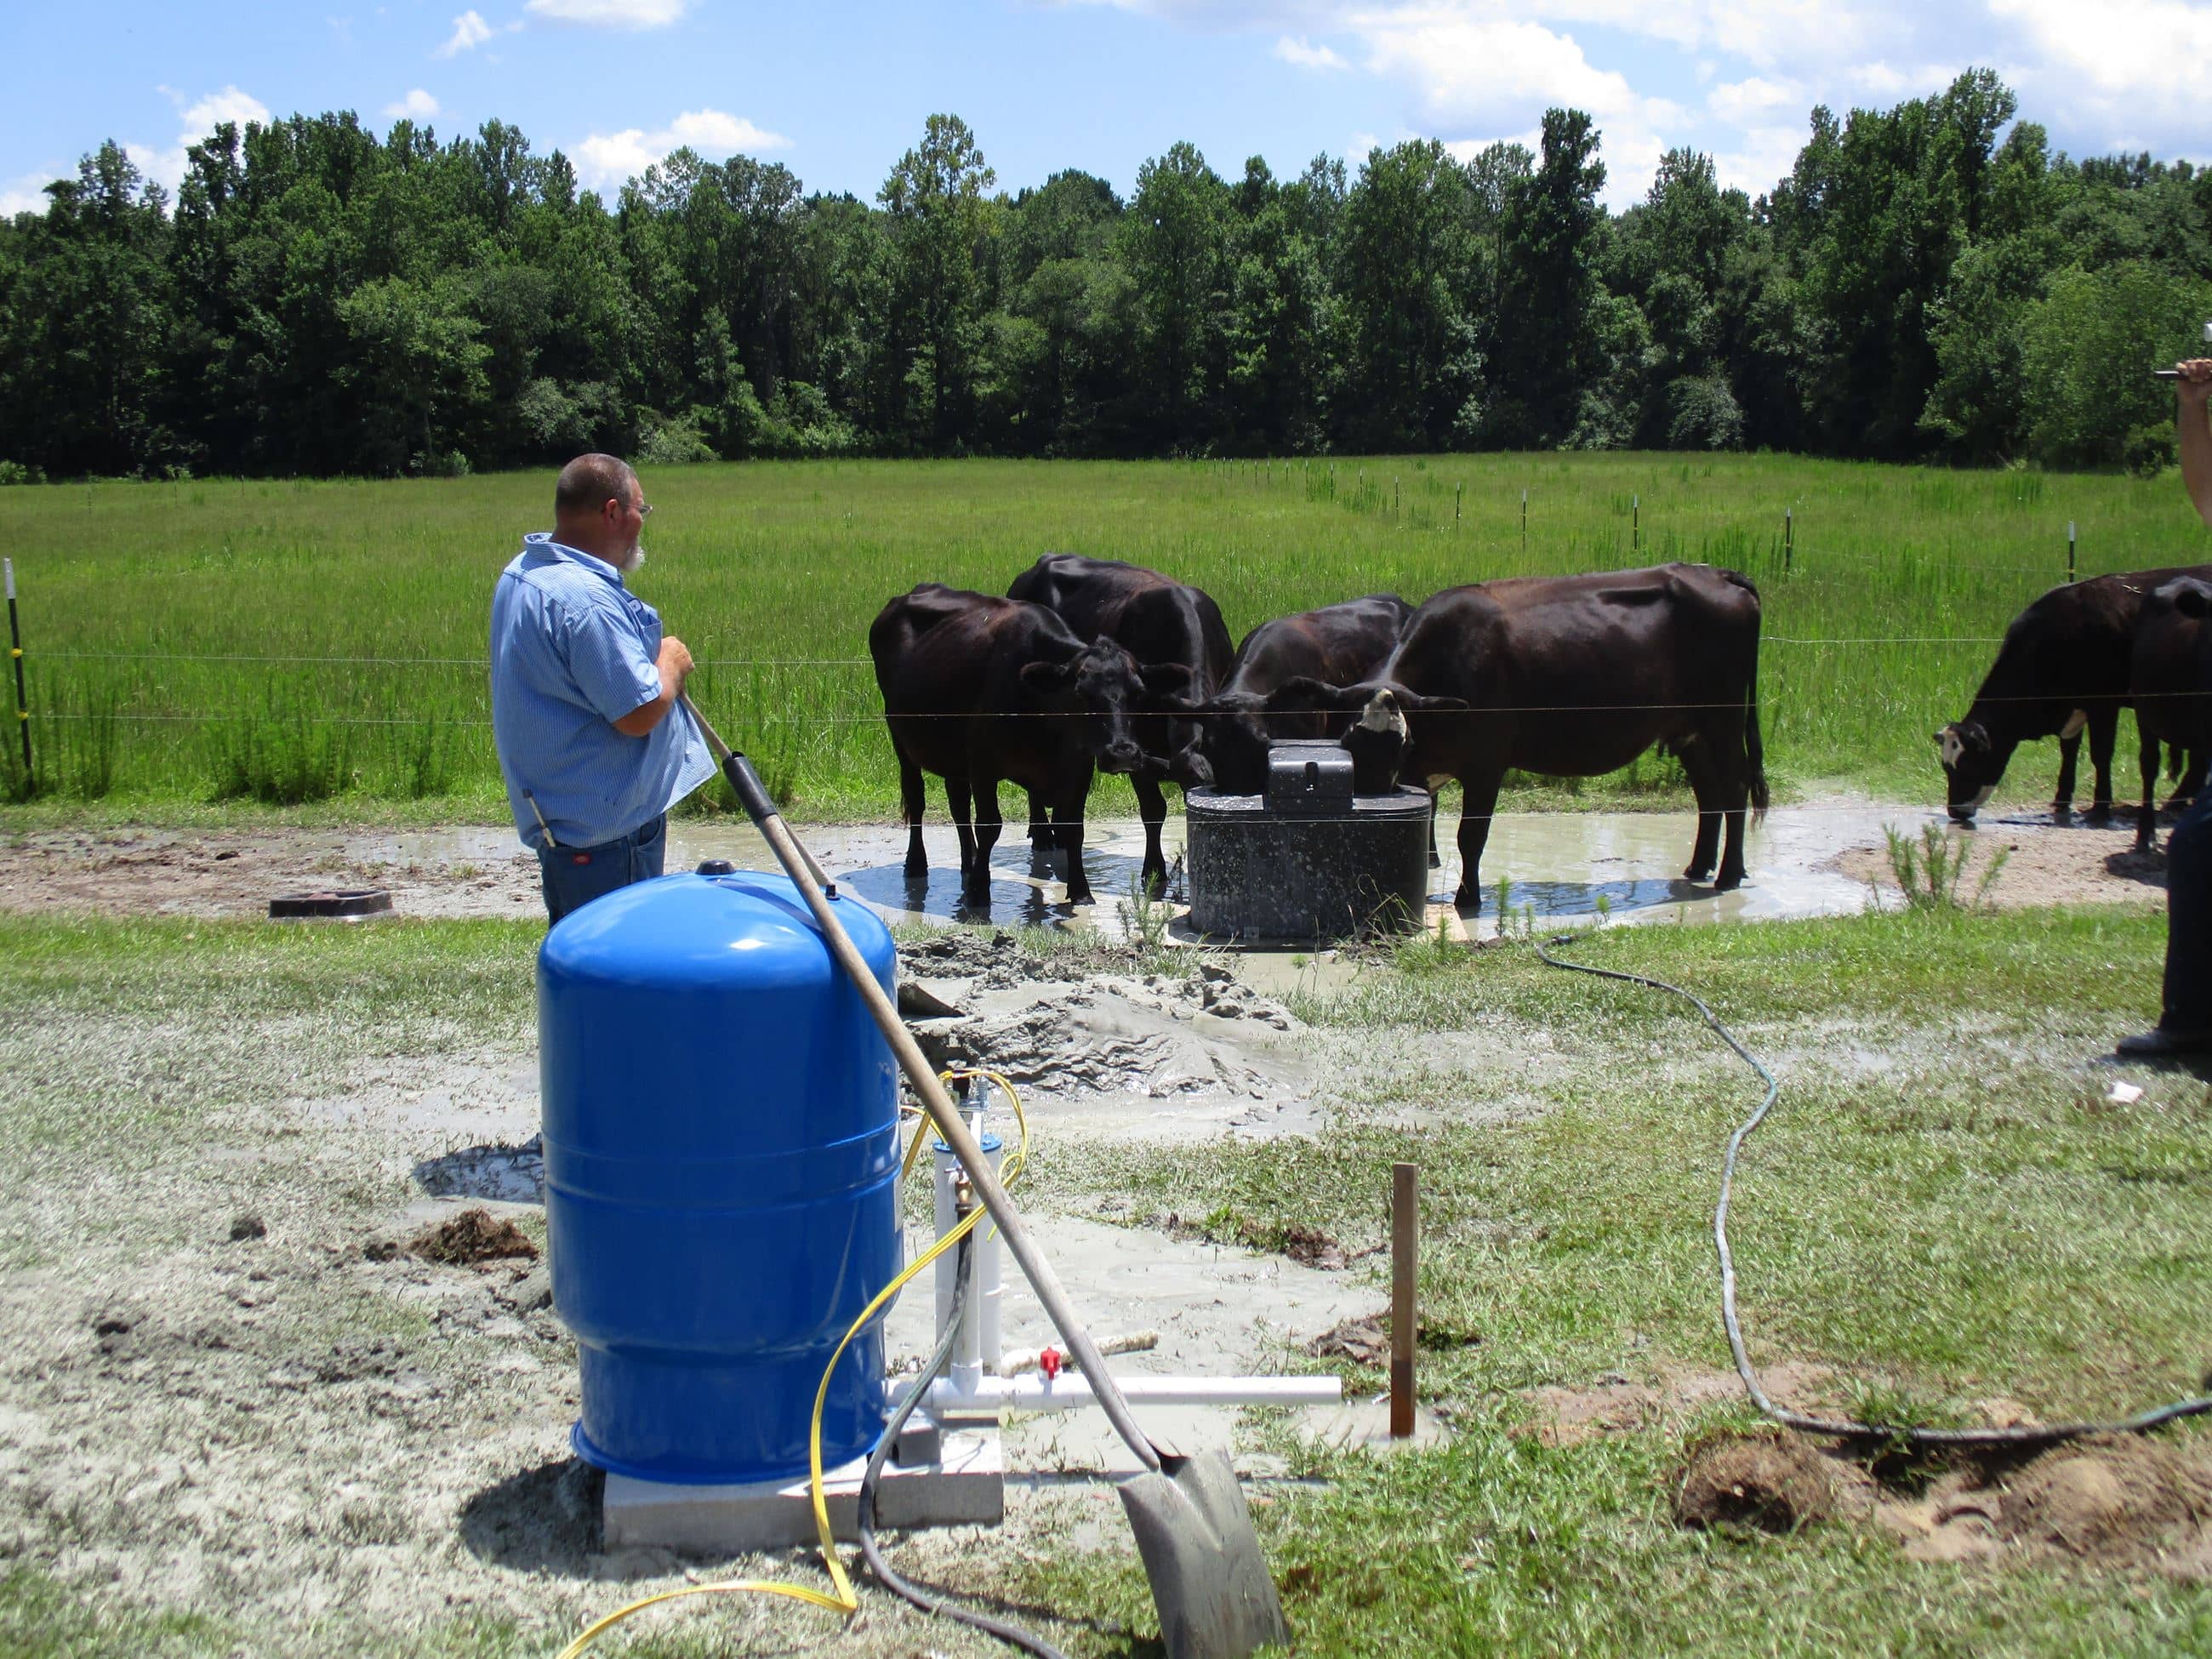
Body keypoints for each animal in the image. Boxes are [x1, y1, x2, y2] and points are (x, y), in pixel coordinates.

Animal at [867, 584, 1167, 911]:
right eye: (1081, 694)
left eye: (1138, 692)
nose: (1123, 753)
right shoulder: (983, 766)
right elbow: (989, 827)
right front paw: (978, 896)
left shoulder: (1079, 769)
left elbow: (1074, 829)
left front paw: (1081, 891)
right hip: (901, 740)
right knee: (917, 801)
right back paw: (917, 865)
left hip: (953, 756)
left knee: (958, 807)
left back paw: (968, 866)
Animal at [1283, 570, 1760, 911]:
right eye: (1348, 741)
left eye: (1401, 746)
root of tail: (1716, 573)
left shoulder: (1486, 766)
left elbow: (1470, 837)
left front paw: (1468, 898)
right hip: (1689, 730)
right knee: (1708, 795)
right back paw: (1698, 866)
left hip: (1723, 721)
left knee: (1734, 789)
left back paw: (1728, 874)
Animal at [1929, 570, 2203, 827]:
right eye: (1946, 767)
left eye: (1968, 764)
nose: (1954, 811)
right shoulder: (2072, 707)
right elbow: (2069, 751)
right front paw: (2061, 801)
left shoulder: (2103, 705)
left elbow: (2100, 754)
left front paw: (2100, 808)